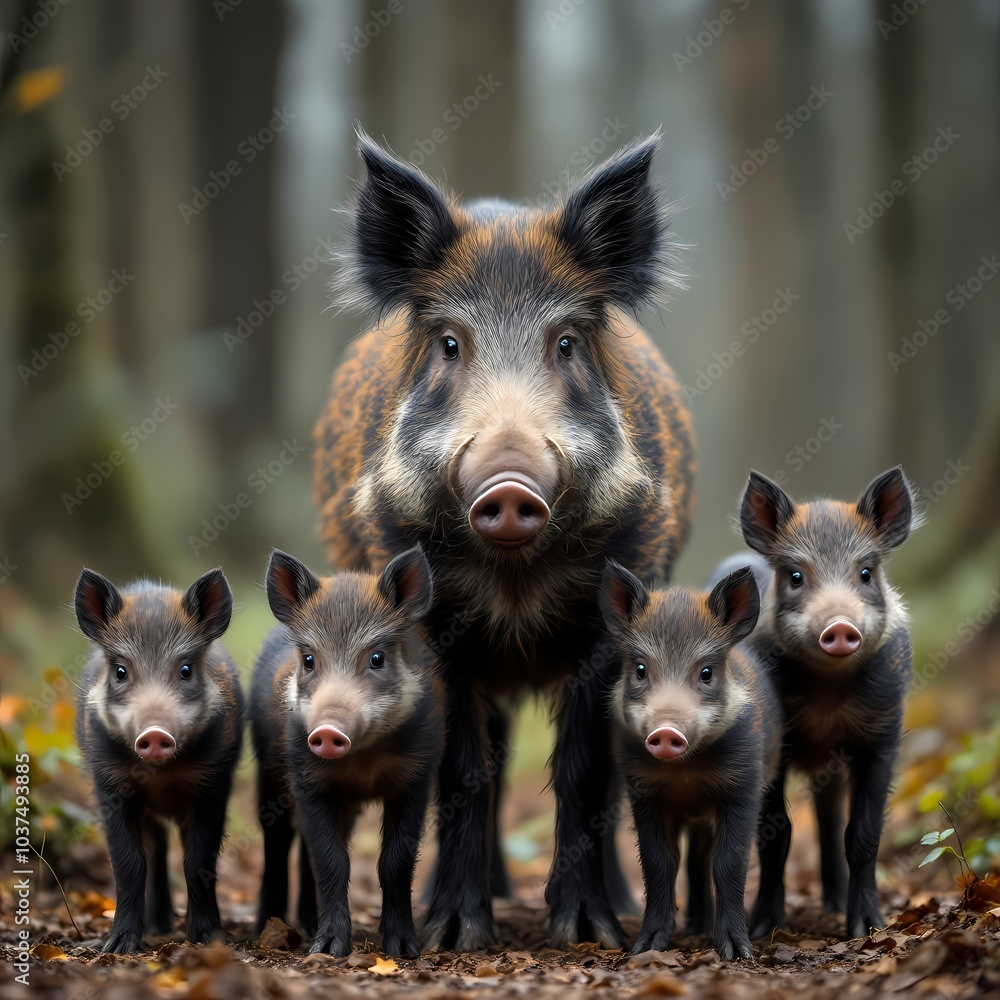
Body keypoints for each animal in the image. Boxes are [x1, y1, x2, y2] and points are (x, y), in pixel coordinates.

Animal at [73, 568, 243, 953]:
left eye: (186, 670)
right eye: (120, 671)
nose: (153, 734)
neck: (160, 776)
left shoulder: (214, 783)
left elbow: (198, 861)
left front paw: (209, 940)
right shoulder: (109, 784)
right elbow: (129, 863)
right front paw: (117, 948)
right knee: (156, 850)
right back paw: (158, 927)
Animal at [250, 546, 443, 956]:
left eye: (377, 658)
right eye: (309, 660)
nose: (327, 731)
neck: (363, 763)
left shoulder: (416, 777)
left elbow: (395, 860)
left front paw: (403, 950)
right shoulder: (305, 779)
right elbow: (330, 860)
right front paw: (326, 951)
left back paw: (306, 924)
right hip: (267, 773)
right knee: (277, 841)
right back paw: (267, 928)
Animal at [314, 130, 695, 950]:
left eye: (567, 342)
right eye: (450, 343)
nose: (510, 485)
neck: (514, 584)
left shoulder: (613, 616)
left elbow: (587, 769)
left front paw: (586, 934)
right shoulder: (431, 628)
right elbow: (464, 772)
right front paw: (455, 937)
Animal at [599, 561, 780, 959]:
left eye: (706, 672)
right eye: (640, 669)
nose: (667, 732)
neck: (686, 775)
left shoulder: (743, 788)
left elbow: (729, 862)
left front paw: (737, 954)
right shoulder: (643, 793)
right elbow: (659, 863)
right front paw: (645, 948)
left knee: (704, 858)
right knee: (693, 859)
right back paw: (695, 927)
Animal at [738, 467, 916, 939]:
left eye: (867, 572)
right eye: (795, 576)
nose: (839, 626)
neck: (827, 699)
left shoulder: (882, 737)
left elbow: (863, 834)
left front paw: (865, 930)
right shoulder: (773, 747)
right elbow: (774, 834)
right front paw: (763, 930)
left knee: (830, 819)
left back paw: (834, 906)